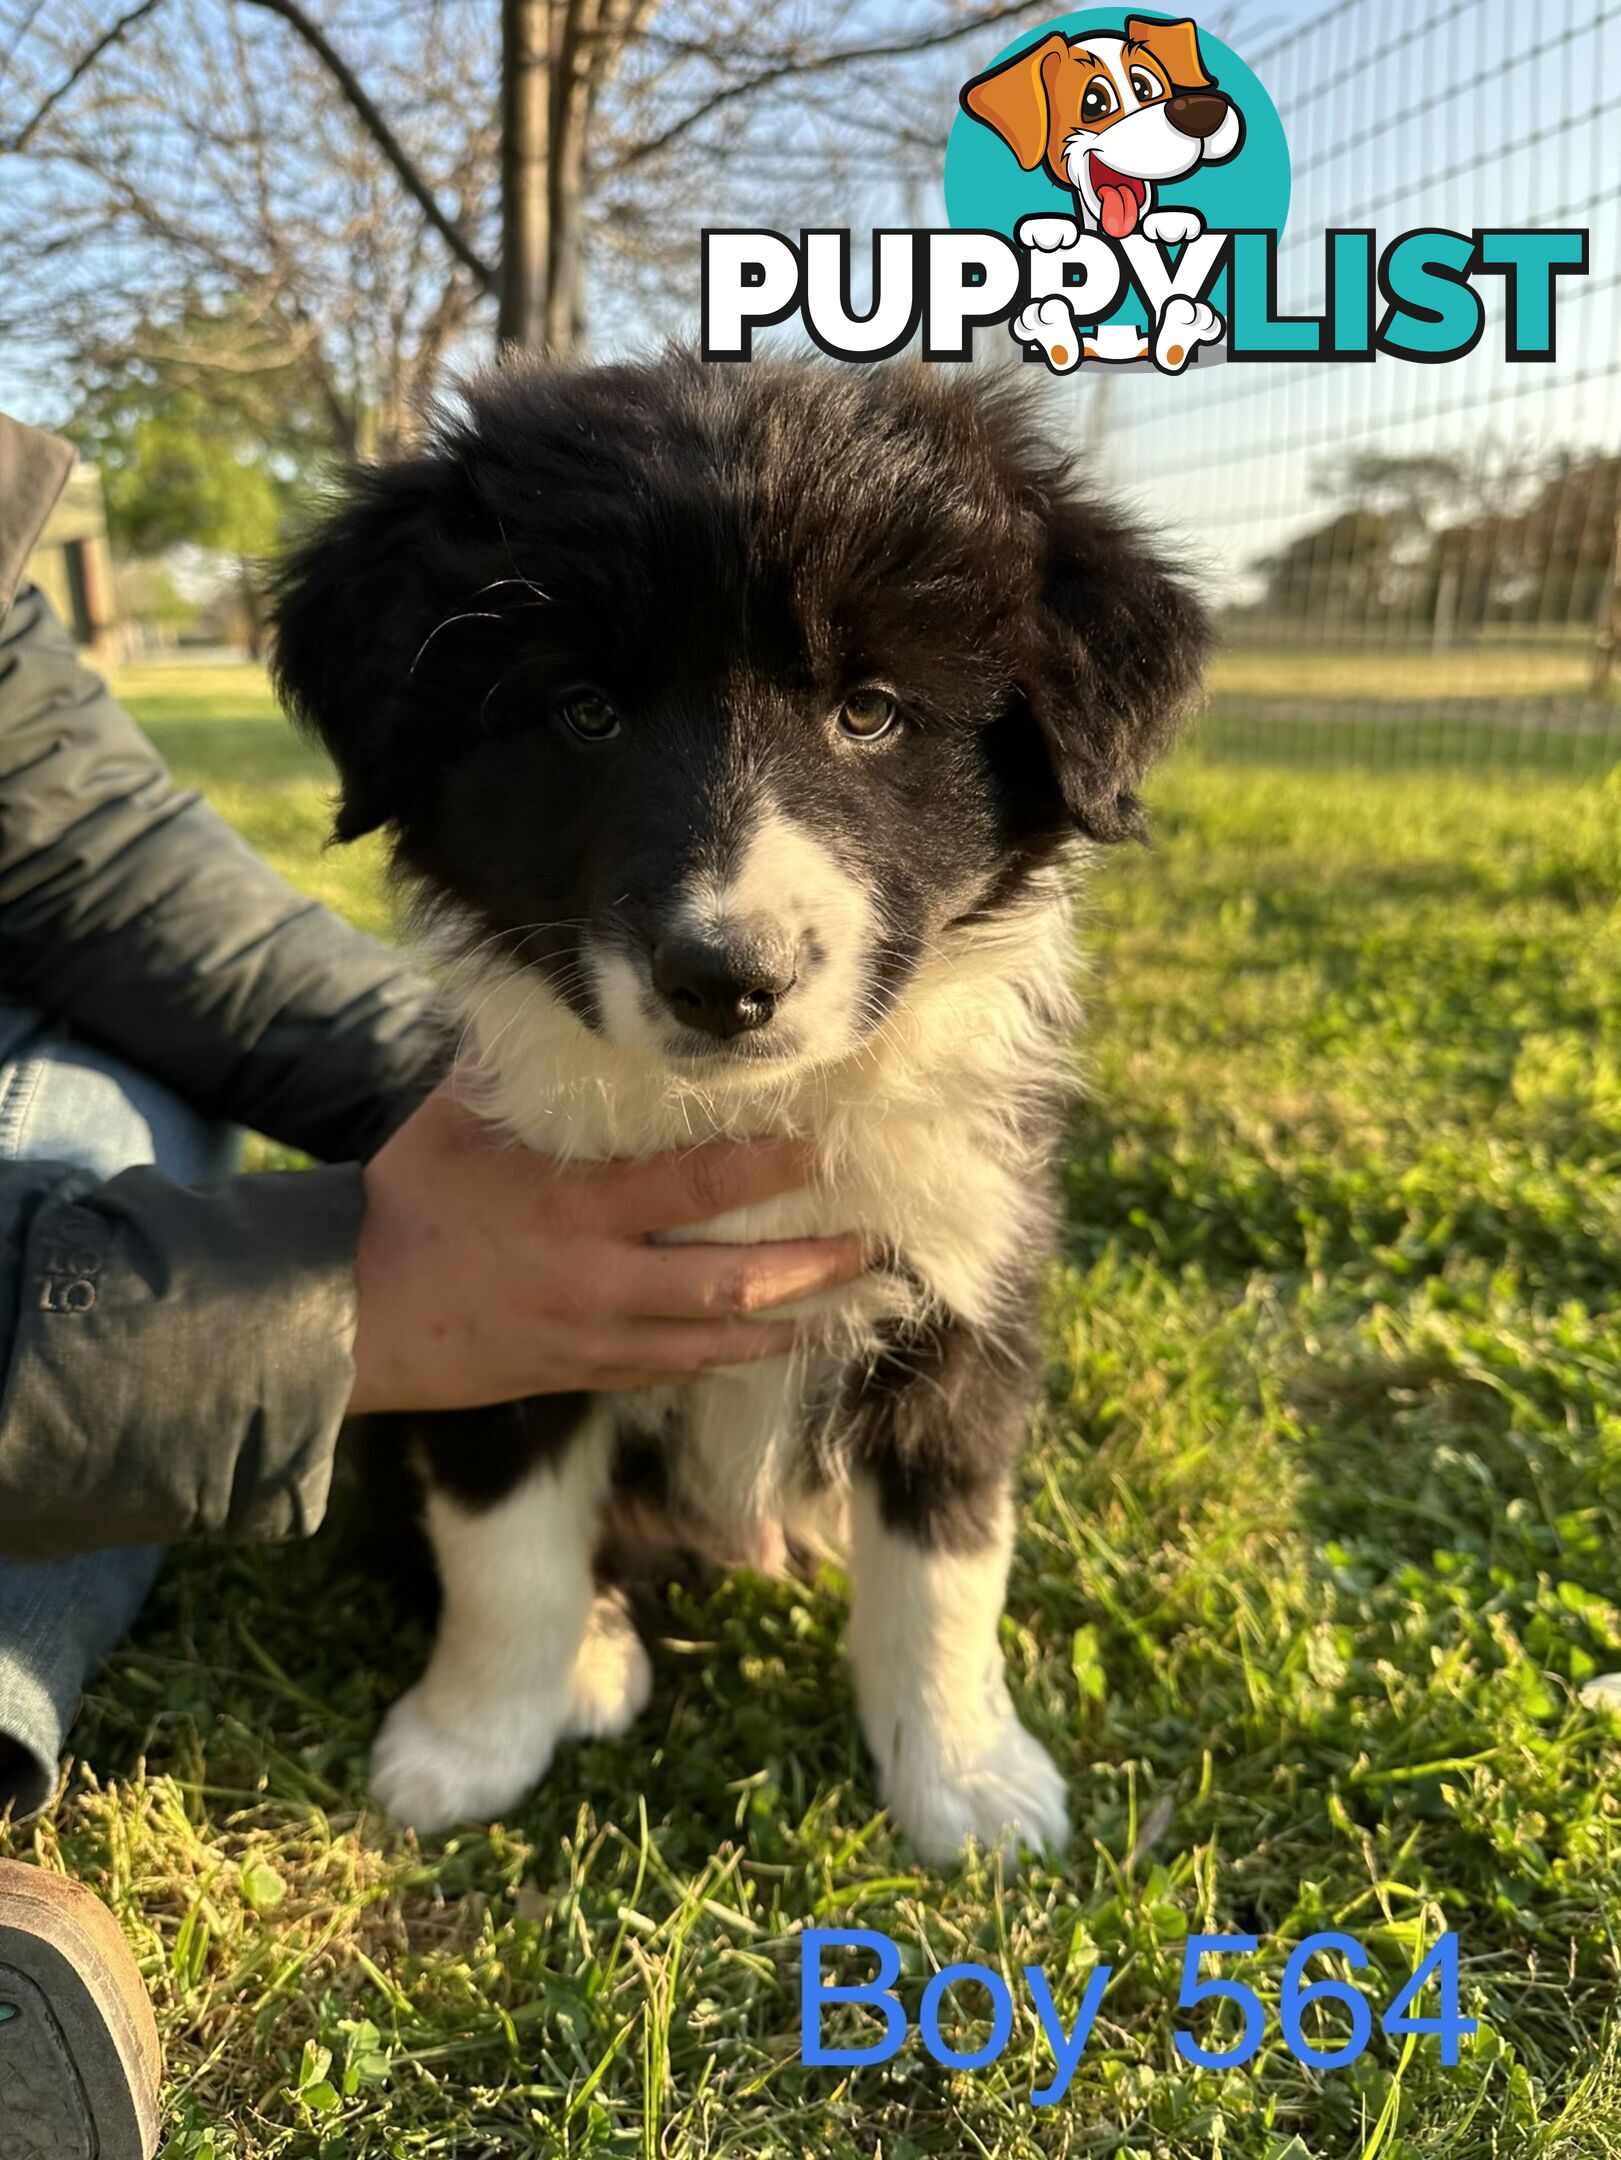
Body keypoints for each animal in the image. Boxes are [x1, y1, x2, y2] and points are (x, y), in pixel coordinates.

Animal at [270, 349, 1210, 1857]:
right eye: (584, 711)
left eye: (869, 710)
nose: (727, 980)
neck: (740, 1117)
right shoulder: (498, 1302)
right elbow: (503, 1549)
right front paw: (469, 1746)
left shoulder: (966, 1291)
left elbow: (948, 1564)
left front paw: (964, 1778)